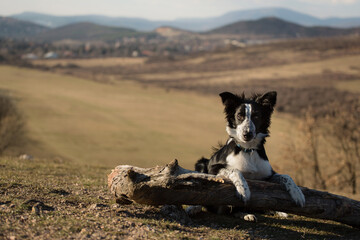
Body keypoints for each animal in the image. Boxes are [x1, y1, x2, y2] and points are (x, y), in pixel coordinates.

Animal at [188, 91, 304, 220]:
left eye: (256, 116)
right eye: (239, 116)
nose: (247, 134)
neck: (248, 150)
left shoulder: (266, 176)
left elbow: (286, 176)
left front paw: (297, 193)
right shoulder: (212, 167)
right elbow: (235, 170)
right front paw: (244, 190)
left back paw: (249, 214)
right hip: (201, 163)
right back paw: (194, 208)